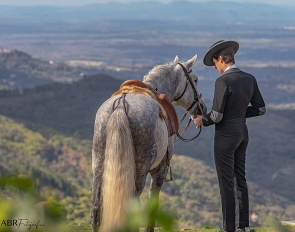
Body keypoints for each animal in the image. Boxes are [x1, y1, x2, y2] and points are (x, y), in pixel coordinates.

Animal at [91, 54, 207, 232]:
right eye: (195, 79)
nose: (202, 108)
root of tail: (120, 107)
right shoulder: (159, 170)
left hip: (98, 166)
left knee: (97, 209)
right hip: (138, 171)